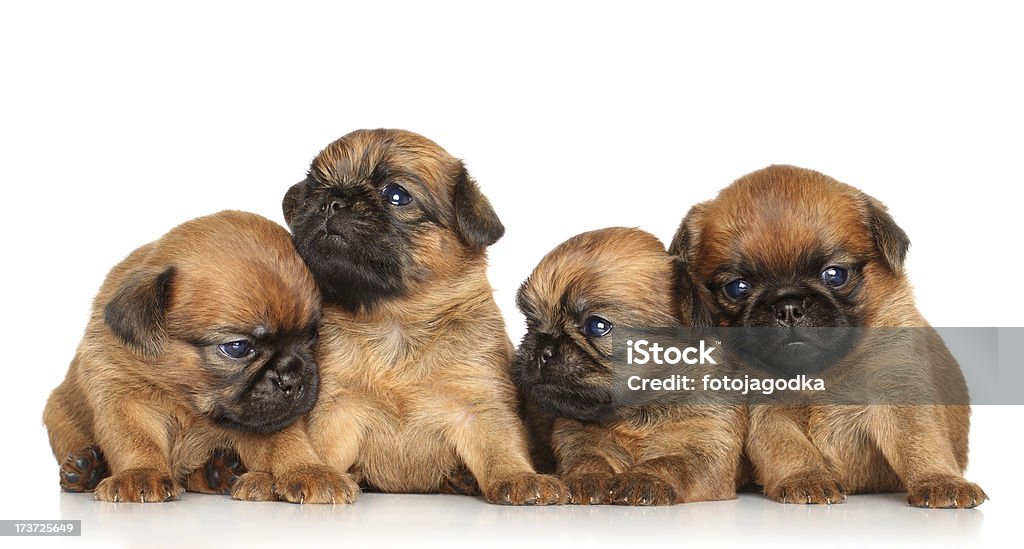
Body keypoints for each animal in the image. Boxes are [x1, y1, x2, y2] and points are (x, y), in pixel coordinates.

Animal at [43, 209, 356, 501]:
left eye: (312, 337)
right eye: (238, 347)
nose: (293, 378)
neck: (189, 404)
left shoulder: (271, 419)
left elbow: (288, 441)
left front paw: (310, 470)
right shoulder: (124, 398)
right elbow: (135, 439)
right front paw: (140, 473)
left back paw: (219, 471)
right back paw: (86, 470)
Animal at [284, 129, 565, 505]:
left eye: (396, 195)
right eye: (314, 190)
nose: (332, 201)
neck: (396, 321)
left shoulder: (480, 403)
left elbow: (500, 447)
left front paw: (519, 477)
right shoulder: (335, 406)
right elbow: (320, 446)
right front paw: (314, 473)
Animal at [512, 228, 745, 505]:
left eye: (597, 326)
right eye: (530, 322)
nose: (541, 350)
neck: (638, 414)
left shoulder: (708, 451)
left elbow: (671, 463)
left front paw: (642, 478)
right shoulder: (576, 437)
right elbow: (587, 458)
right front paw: (587, 478)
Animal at [667, 163, 987, 510]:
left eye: (834, 275)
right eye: (737, 288)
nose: (788, 306)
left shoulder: (899, 391)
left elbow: (921, 441)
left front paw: (940, 480)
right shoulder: (766, 411)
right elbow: (787, 446)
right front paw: (806, 478)